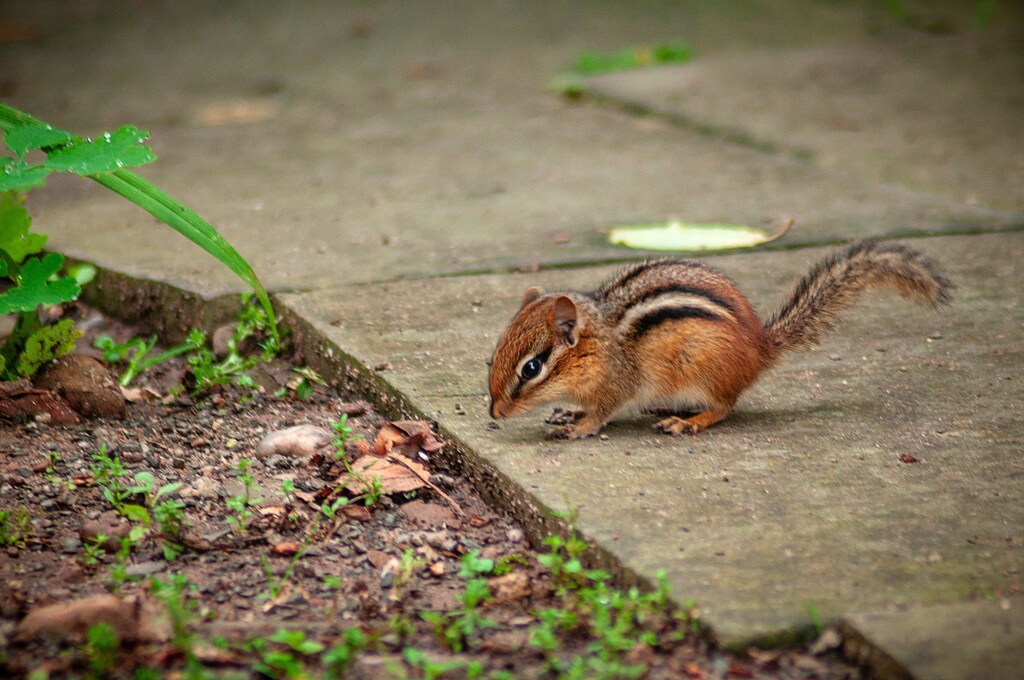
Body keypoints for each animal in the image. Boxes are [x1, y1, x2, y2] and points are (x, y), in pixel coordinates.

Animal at [487, 241, 952, 439]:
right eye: (493, 356)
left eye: (532, 367)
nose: (494, 412)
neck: (598, 344)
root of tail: (761, 347)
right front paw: (568, 411)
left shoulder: (618, 383)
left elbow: (602, 413)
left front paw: (579, 426)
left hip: (703, 366)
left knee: (725, 407)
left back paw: (690, 420)